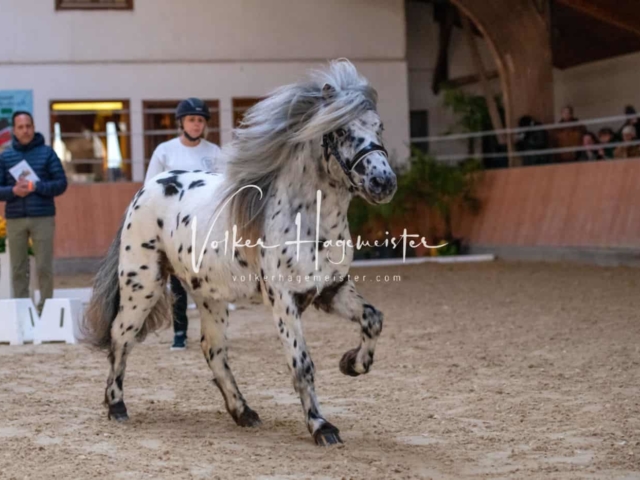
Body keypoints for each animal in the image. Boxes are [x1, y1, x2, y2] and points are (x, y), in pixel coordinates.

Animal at [82, 60, 398, 446]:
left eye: (378, 126)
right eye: (339, 131)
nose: (383, 183)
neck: (308, 221)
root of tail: (148, 188)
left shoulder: (330, 290)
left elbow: (373, 318)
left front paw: (352, 363)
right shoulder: (283, 300)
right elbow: (302, 364)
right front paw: (322, 427)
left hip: (210, 296)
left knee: (212, 349)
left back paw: (243, 412)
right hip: (142, 284)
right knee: (121, 336)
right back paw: (116, 406)